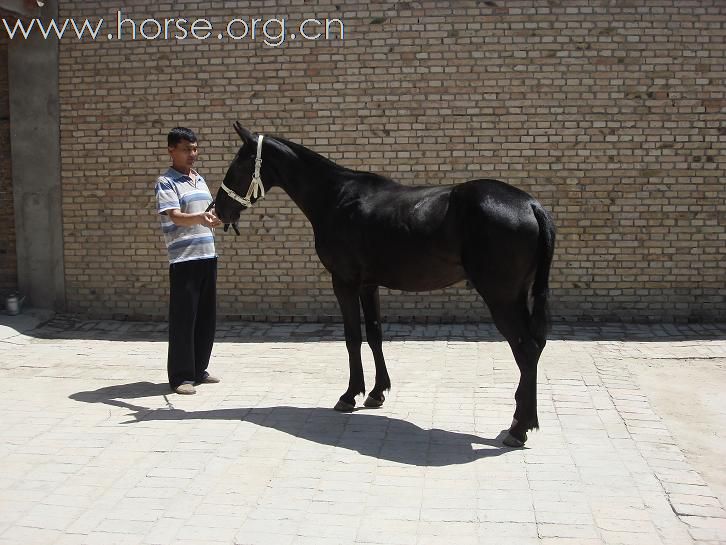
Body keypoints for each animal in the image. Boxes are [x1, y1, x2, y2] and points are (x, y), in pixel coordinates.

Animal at [216, 124, 556, 446]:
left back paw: (518, 429)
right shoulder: (369, 285)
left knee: (526, 349)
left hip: (501, 299)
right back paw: (523, 419)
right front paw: (377, 393)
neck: (336, 197)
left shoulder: (344, 282)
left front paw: (349, 395)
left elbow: (352, 337)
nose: (218, 210)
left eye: (239, 166)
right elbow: (375, 334)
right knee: (535, 349)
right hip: (516, 297)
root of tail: (530, 205)